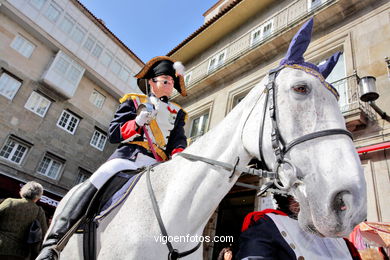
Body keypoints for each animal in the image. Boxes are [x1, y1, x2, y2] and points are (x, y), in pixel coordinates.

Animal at [52, 18, 366, 258]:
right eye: (300, 88)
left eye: (338, 97)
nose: (350, 203)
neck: (177, 216)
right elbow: (119, 125)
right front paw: (143, 116)